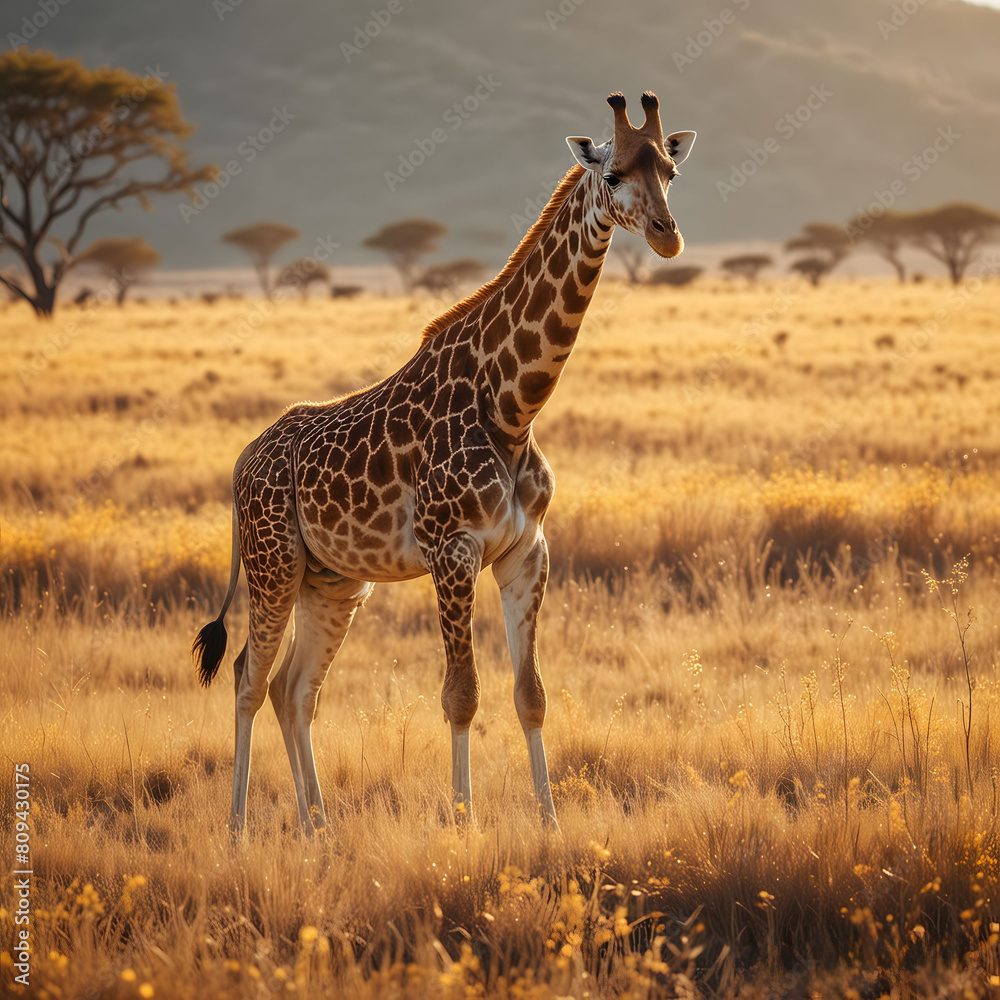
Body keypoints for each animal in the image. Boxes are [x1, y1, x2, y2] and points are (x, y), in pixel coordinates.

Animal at [193, 91, 696, 834]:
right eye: (613, 175)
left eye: (669, 170)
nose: (667, 236)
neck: (511, 408)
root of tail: (240, 464)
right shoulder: (451, 550)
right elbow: (461, 693)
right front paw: (463, 826)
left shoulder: (527, 553)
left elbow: (530, 693)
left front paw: (550, 827)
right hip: (272, 564)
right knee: (248, 679)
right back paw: (237, 831)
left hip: (333, 581)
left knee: (295, 689)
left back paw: (321, 831)